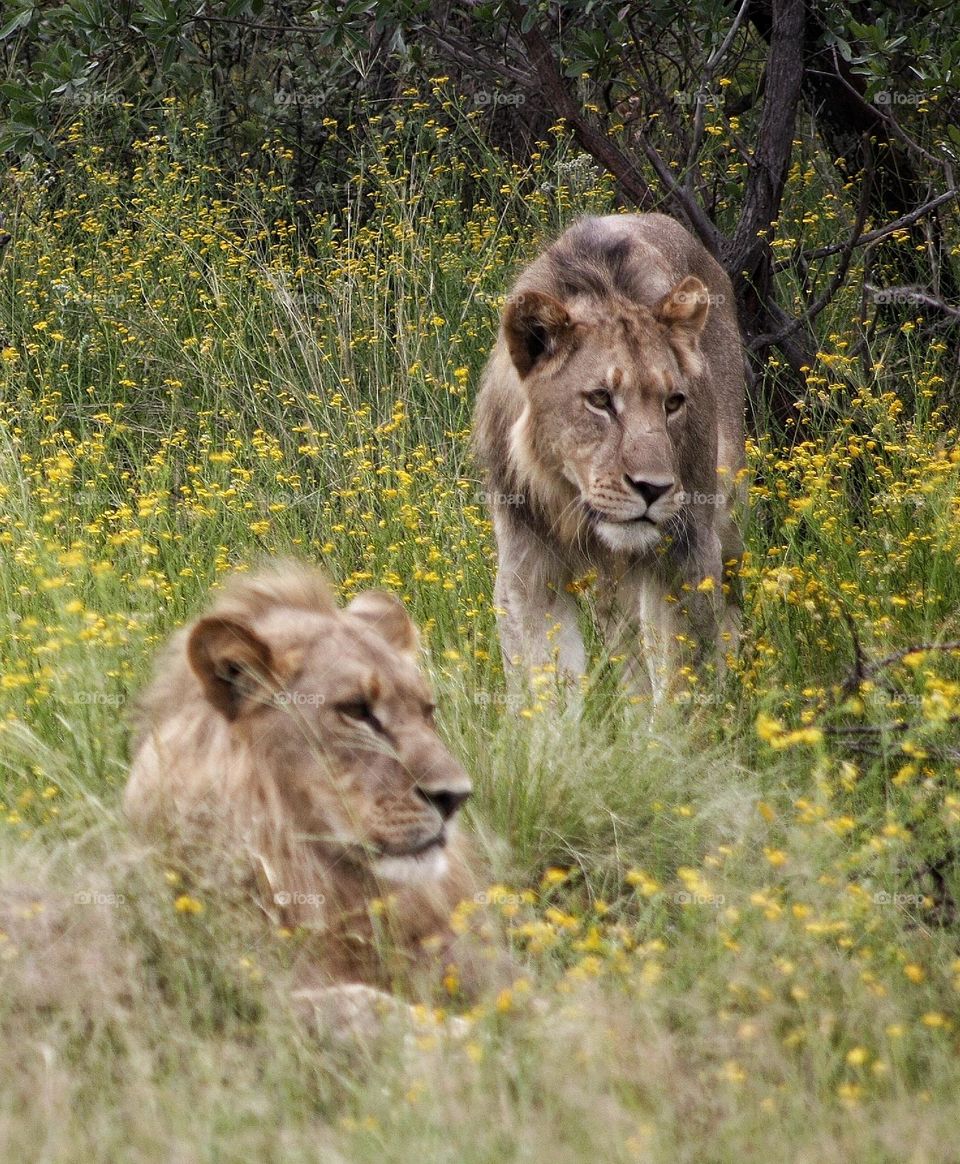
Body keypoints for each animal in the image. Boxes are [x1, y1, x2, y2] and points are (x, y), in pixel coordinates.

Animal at [473, 213, 746, 703]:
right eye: (600, 399)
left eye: (673, 402)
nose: (653, 489)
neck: (570, 498)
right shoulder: (528, 566)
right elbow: (549, 686)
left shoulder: (687, 551)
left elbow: (681, 683)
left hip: (728, 507)